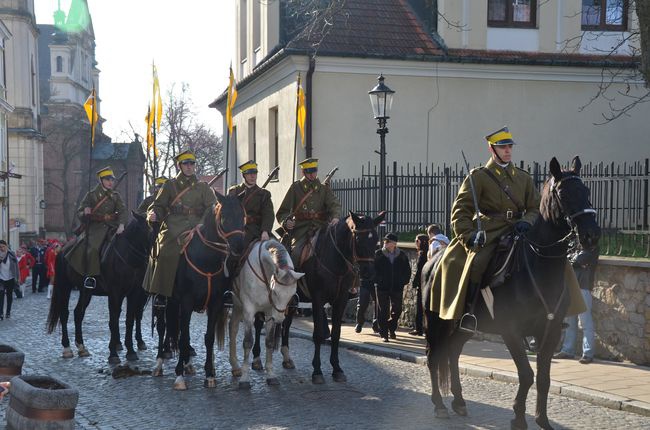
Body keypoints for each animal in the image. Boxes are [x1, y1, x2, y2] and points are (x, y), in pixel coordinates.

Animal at [46, 212, 153, 362]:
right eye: (149, 229)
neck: (128, 258)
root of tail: (63, 249)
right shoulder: (115, 293)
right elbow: (113, 321)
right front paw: (113, 353)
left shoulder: (135, 293)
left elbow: (130, 319)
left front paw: (131, 351)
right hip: (64, 287)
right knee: (64, 313)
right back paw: (67, 348)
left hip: (86, 291)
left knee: (78, 313)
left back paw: (81, 347)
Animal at [151, 195, 244, 390]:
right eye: (224, 216)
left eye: (242, 214)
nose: (239, 246)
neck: (206, 259)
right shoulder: (186, 302)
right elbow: (183, 338)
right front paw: (179, 376)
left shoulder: (215, 304)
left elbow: (208, 338)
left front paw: (209, 375)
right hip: (163, 299)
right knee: (163, 328)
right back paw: (159, 363)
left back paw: (187, 364)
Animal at [228, 240, 304, 388]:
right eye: (275, 292)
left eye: (292, 294)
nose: (280, 318)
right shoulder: (248, 311)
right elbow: (248, 342)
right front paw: (245, 378)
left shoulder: (270, 313)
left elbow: (269, 342)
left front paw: (271, 375)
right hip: (238, 305)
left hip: (239, 307)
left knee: (232, 326)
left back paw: (235, 366)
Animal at [422, 157, 600, 430]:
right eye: (563, 193)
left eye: (587, 191)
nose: (591, 235)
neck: (538, 266)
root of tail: (433, 261)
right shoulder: (511, 331)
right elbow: (526, 374)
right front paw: (518, 417)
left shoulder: (549, 331)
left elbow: (543, 377)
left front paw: (542, 420)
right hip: (436, 321)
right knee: (434, 356)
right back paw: (440, 404)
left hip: (464, 326)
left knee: (452, 351)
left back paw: (459, 401)